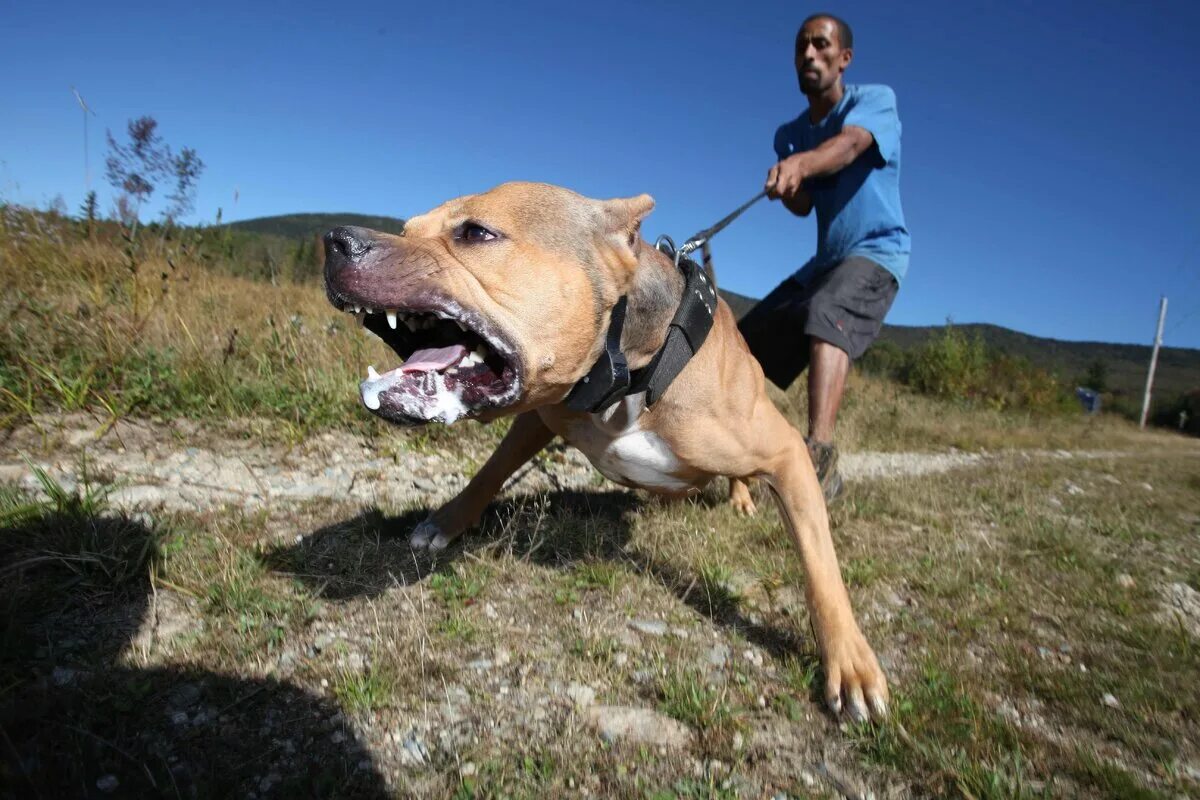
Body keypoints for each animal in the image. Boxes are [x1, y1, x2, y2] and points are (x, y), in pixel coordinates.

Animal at [324, 184, 888, 724]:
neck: (632, 369)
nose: (335, 240)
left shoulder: (789, 452)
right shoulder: (540, 415)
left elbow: (820, 567)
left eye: (476, 233)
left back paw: (742, 498)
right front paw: (447, 520)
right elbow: (490, 471)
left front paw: (850, 664)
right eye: (407, 229)